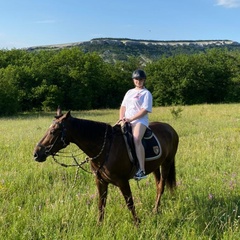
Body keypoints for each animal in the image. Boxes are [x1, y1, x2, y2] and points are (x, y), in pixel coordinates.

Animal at [33, 108, 178, 224]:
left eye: (53, 131)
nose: (36, 154)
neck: (106, 148)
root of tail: (170, 129)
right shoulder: (100, 181)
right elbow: (101, 204)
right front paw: (99, 225)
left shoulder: (122, 181)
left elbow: (130, 203)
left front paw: (137, 224)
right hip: (155, 166)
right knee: (158, 185)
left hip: (167, 163)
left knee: (161, 186)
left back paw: (155, 210)